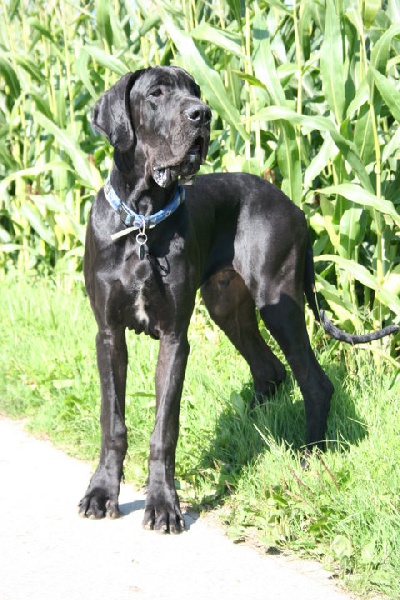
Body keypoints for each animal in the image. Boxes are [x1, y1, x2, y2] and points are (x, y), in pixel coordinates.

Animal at [79, 66, 399, 532]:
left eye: (195, 91)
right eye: (156, 93)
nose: (202, 114)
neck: (142, 220)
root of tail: (295, 205)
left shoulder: (175, 338)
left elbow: (165, 427)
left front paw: (163, 503)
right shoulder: (108, 334)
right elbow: (112, 420)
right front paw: (102, 492)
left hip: (278, 303)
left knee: (314, 382)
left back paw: (310, 456)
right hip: (228, 308)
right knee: (270, 371)